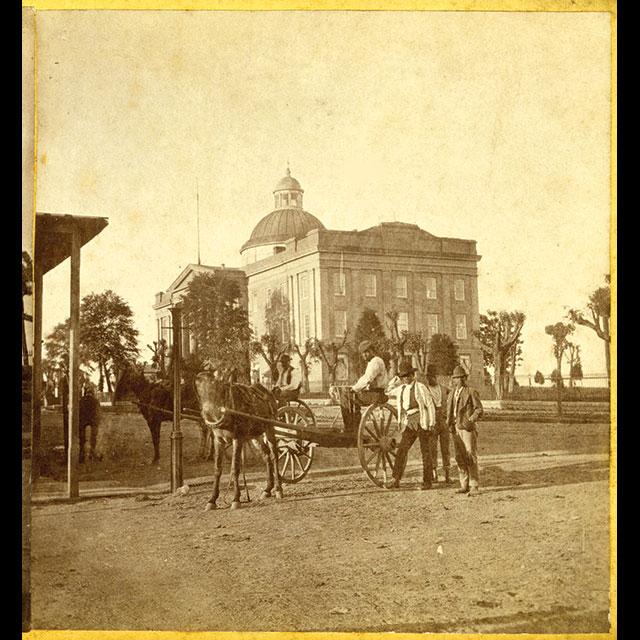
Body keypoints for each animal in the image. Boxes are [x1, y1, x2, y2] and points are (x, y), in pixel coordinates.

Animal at [195, 370, 282, 510]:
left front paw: (236, 499)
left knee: (274, 455)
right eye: (198, 387)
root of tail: (268, 392)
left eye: (214, 384)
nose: (206, 413)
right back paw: (268, 489)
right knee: (266, 455)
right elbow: (217, 469)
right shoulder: (218, 440)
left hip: (270, 428)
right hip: (255, 436)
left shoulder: (238, 438)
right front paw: (212, 500)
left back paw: (278, 489)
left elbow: (235, 468)